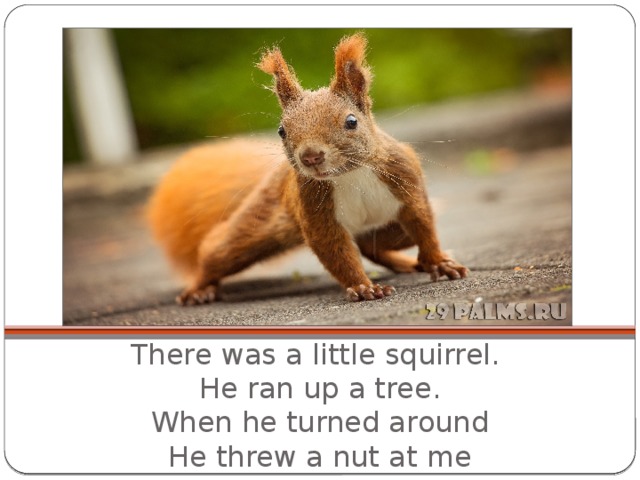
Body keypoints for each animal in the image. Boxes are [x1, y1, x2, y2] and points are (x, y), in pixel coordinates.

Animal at [147, 33, 468, 306]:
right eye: (281, 131)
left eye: (351, 121)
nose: (310, 157)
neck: (350, 174)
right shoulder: (313, 207)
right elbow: (336, 252)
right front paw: (363, 286)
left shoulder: (404, 178)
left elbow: (423, 224)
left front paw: (439, 262)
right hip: (254, 227)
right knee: (216, 254)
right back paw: (199, 289)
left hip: (391, 231)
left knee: (375, 246)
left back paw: (410, 263)